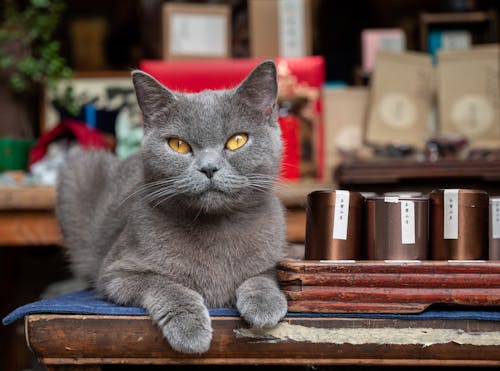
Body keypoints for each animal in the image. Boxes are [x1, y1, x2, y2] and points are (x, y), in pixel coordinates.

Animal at [56, 61, 288, 354]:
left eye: (237, 140)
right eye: (178, 144)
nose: (209, 168)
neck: (216, 226)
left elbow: (265, 274)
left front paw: (264, 303)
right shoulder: (116, 273)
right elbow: (164, 284)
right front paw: (190, 329)